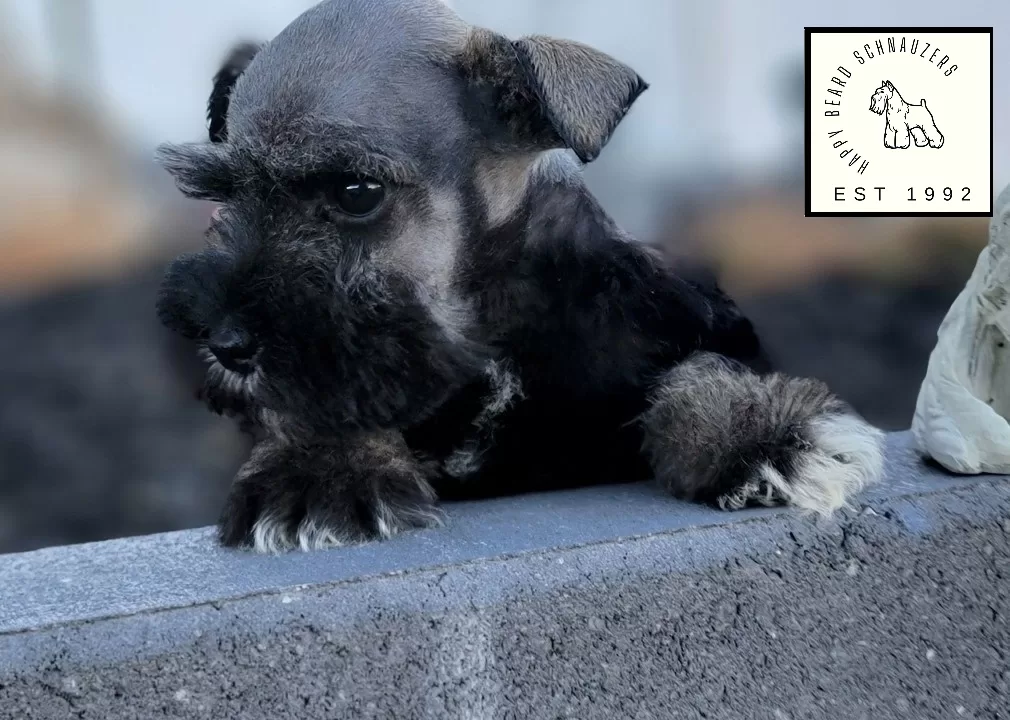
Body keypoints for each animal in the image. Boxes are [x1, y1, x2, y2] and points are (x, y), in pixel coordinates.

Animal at [155, 0, 884, 553]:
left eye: (357, 192)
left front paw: (760, 438)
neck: (484, 328)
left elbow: (700, 371)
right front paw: (319, 472)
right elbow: (330, 398)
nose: (224, 344)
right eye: (225, 195)